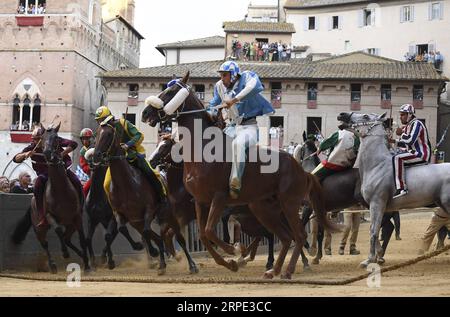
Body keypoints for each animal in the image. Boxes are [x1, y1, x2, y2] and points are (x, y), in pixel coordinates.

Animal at [149, 136, 276, 270]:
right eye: (157, 144)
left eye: (165, 146)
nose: (151, 160)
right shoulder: (179, 215)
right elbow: (166, 233)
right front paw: (174, 257)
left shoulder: (187, 215)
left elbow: (173, 234)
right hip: (248, 217)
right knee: (262, 233)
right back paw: (245, 256)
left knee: (268, 233)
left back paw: (264, 260)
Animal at [338, 111, 450, 266]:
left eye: (366, 116)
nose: (342, 114)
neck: (377, 165)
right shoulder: (377, 207)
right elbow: (375, 229)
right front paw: (379, 255)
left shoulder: (377, 204)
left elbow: (373, 231)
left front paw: (370, 259)